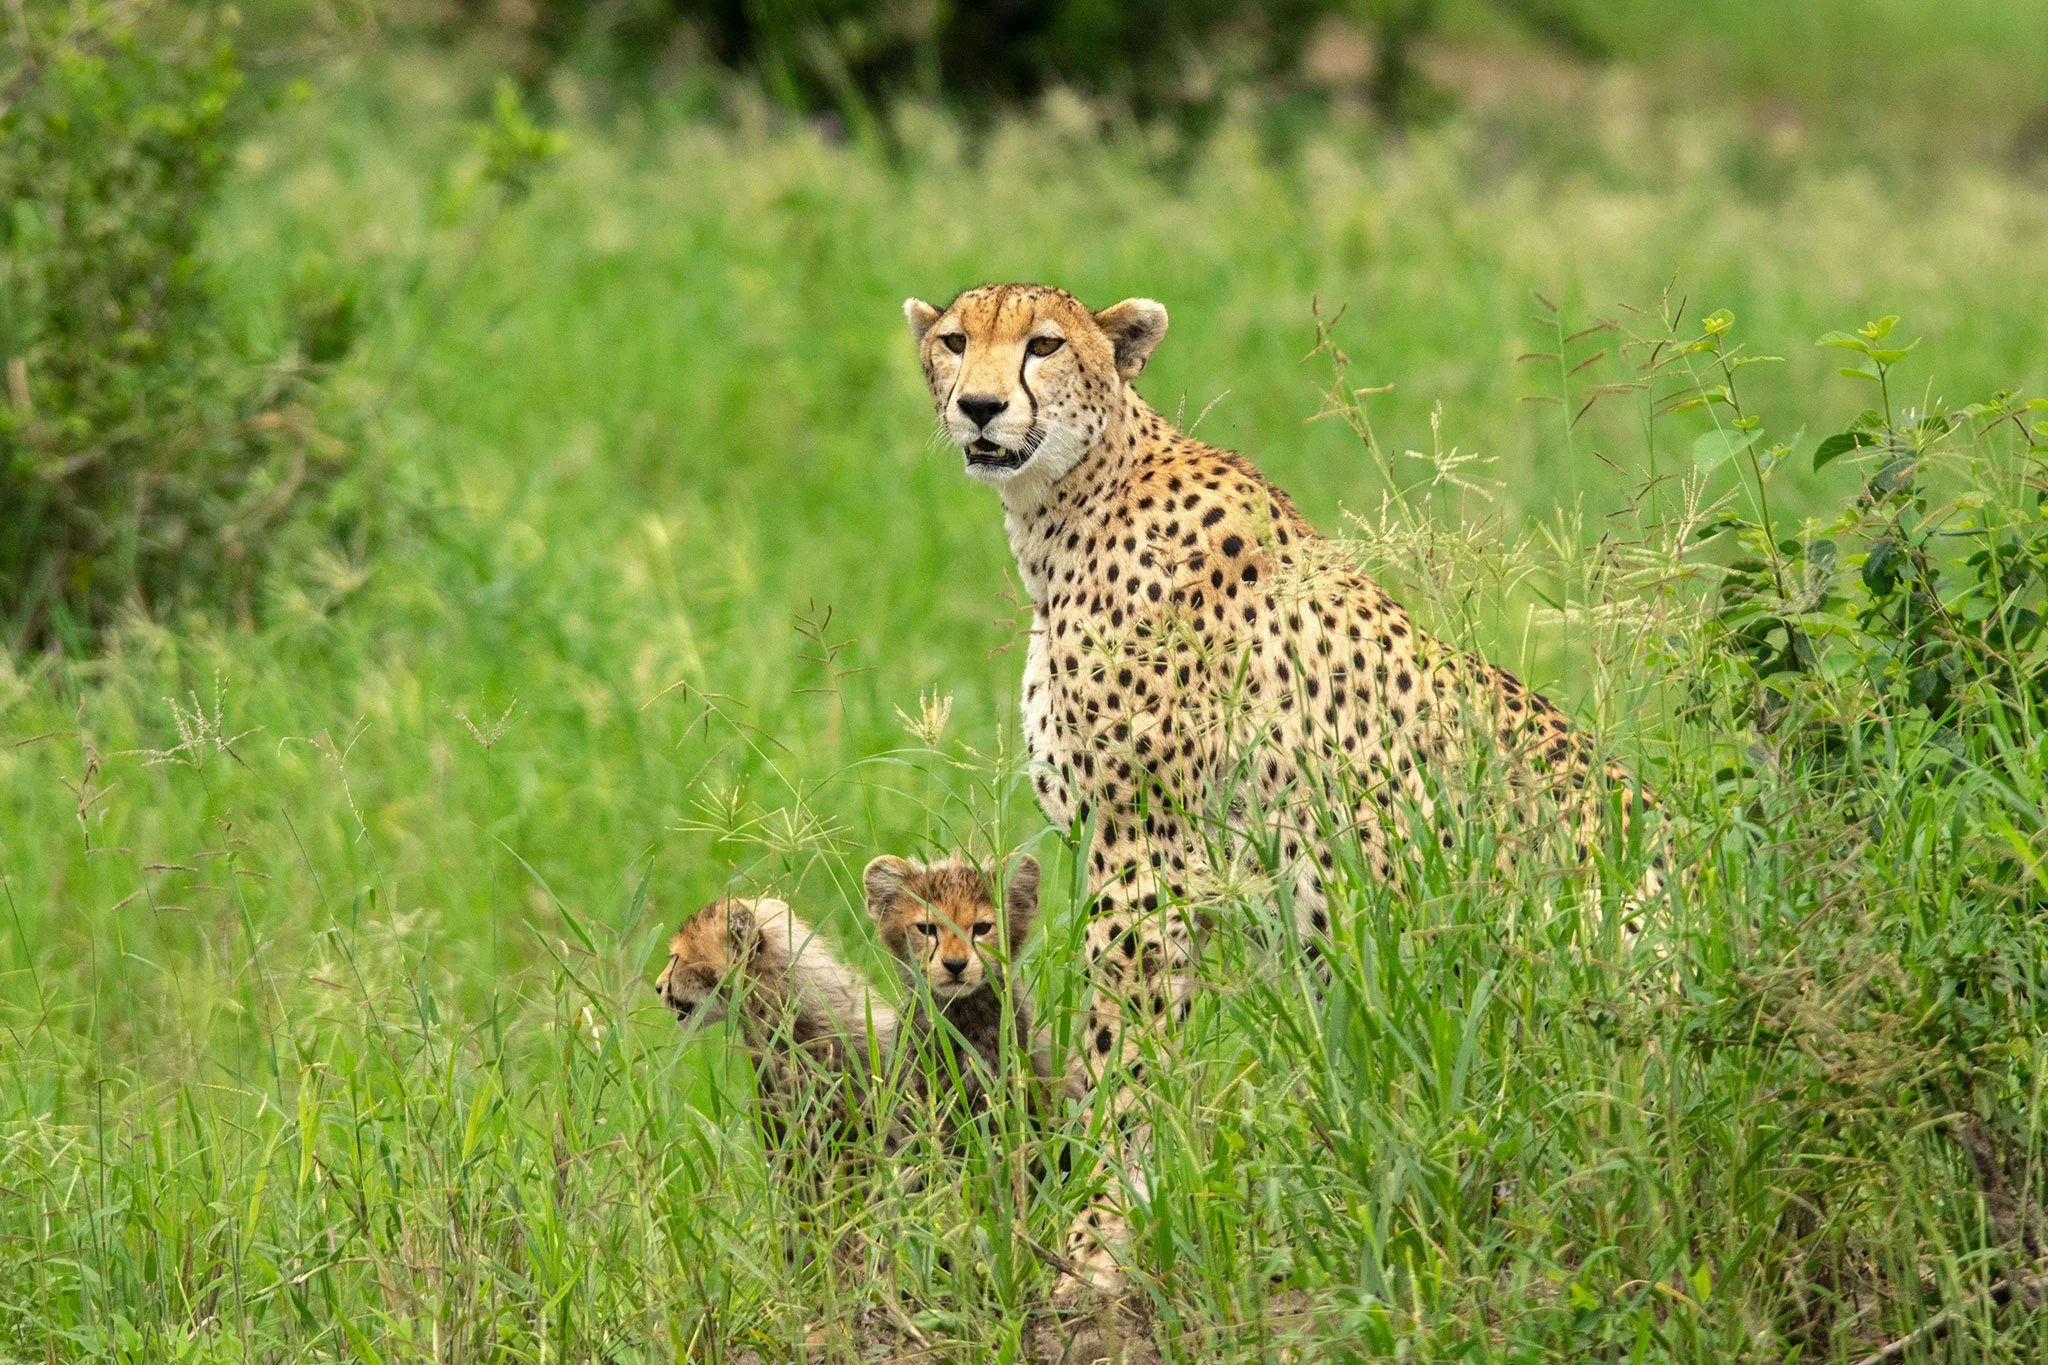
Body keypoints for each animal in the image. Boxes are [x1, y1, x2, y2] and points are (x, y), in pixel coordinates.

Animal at [902, 282, 1664, 1299]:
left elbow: (1123, 1061)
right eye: (954, 341)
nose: (981, 408)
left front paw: (1095, 1241)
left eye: (1045, 346)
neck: (1067, 502)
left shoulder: (1143, 859)